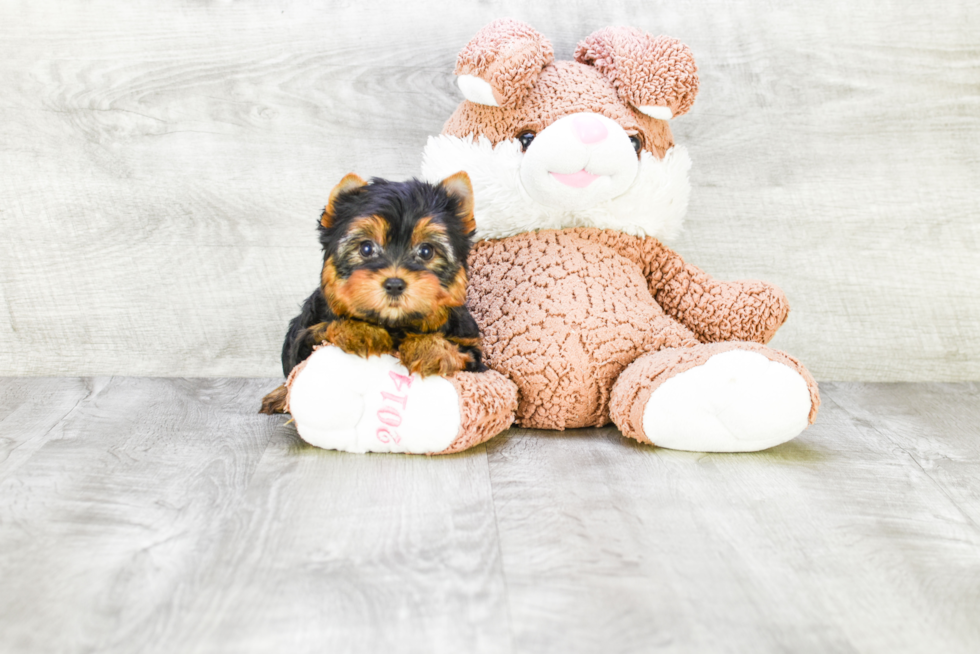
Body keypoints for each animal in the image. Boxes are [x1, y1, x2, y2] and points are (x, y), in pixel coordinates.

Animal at [258, 173, 484, 416]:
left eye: (426, 251)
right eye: (366, 248)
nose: (394, 284)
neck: (393, 324)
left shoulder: (471, 348)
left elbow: (460, 349)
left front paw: (431, 348)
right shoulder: (303, 340)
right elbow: (321, 329)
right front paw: (361, 330)